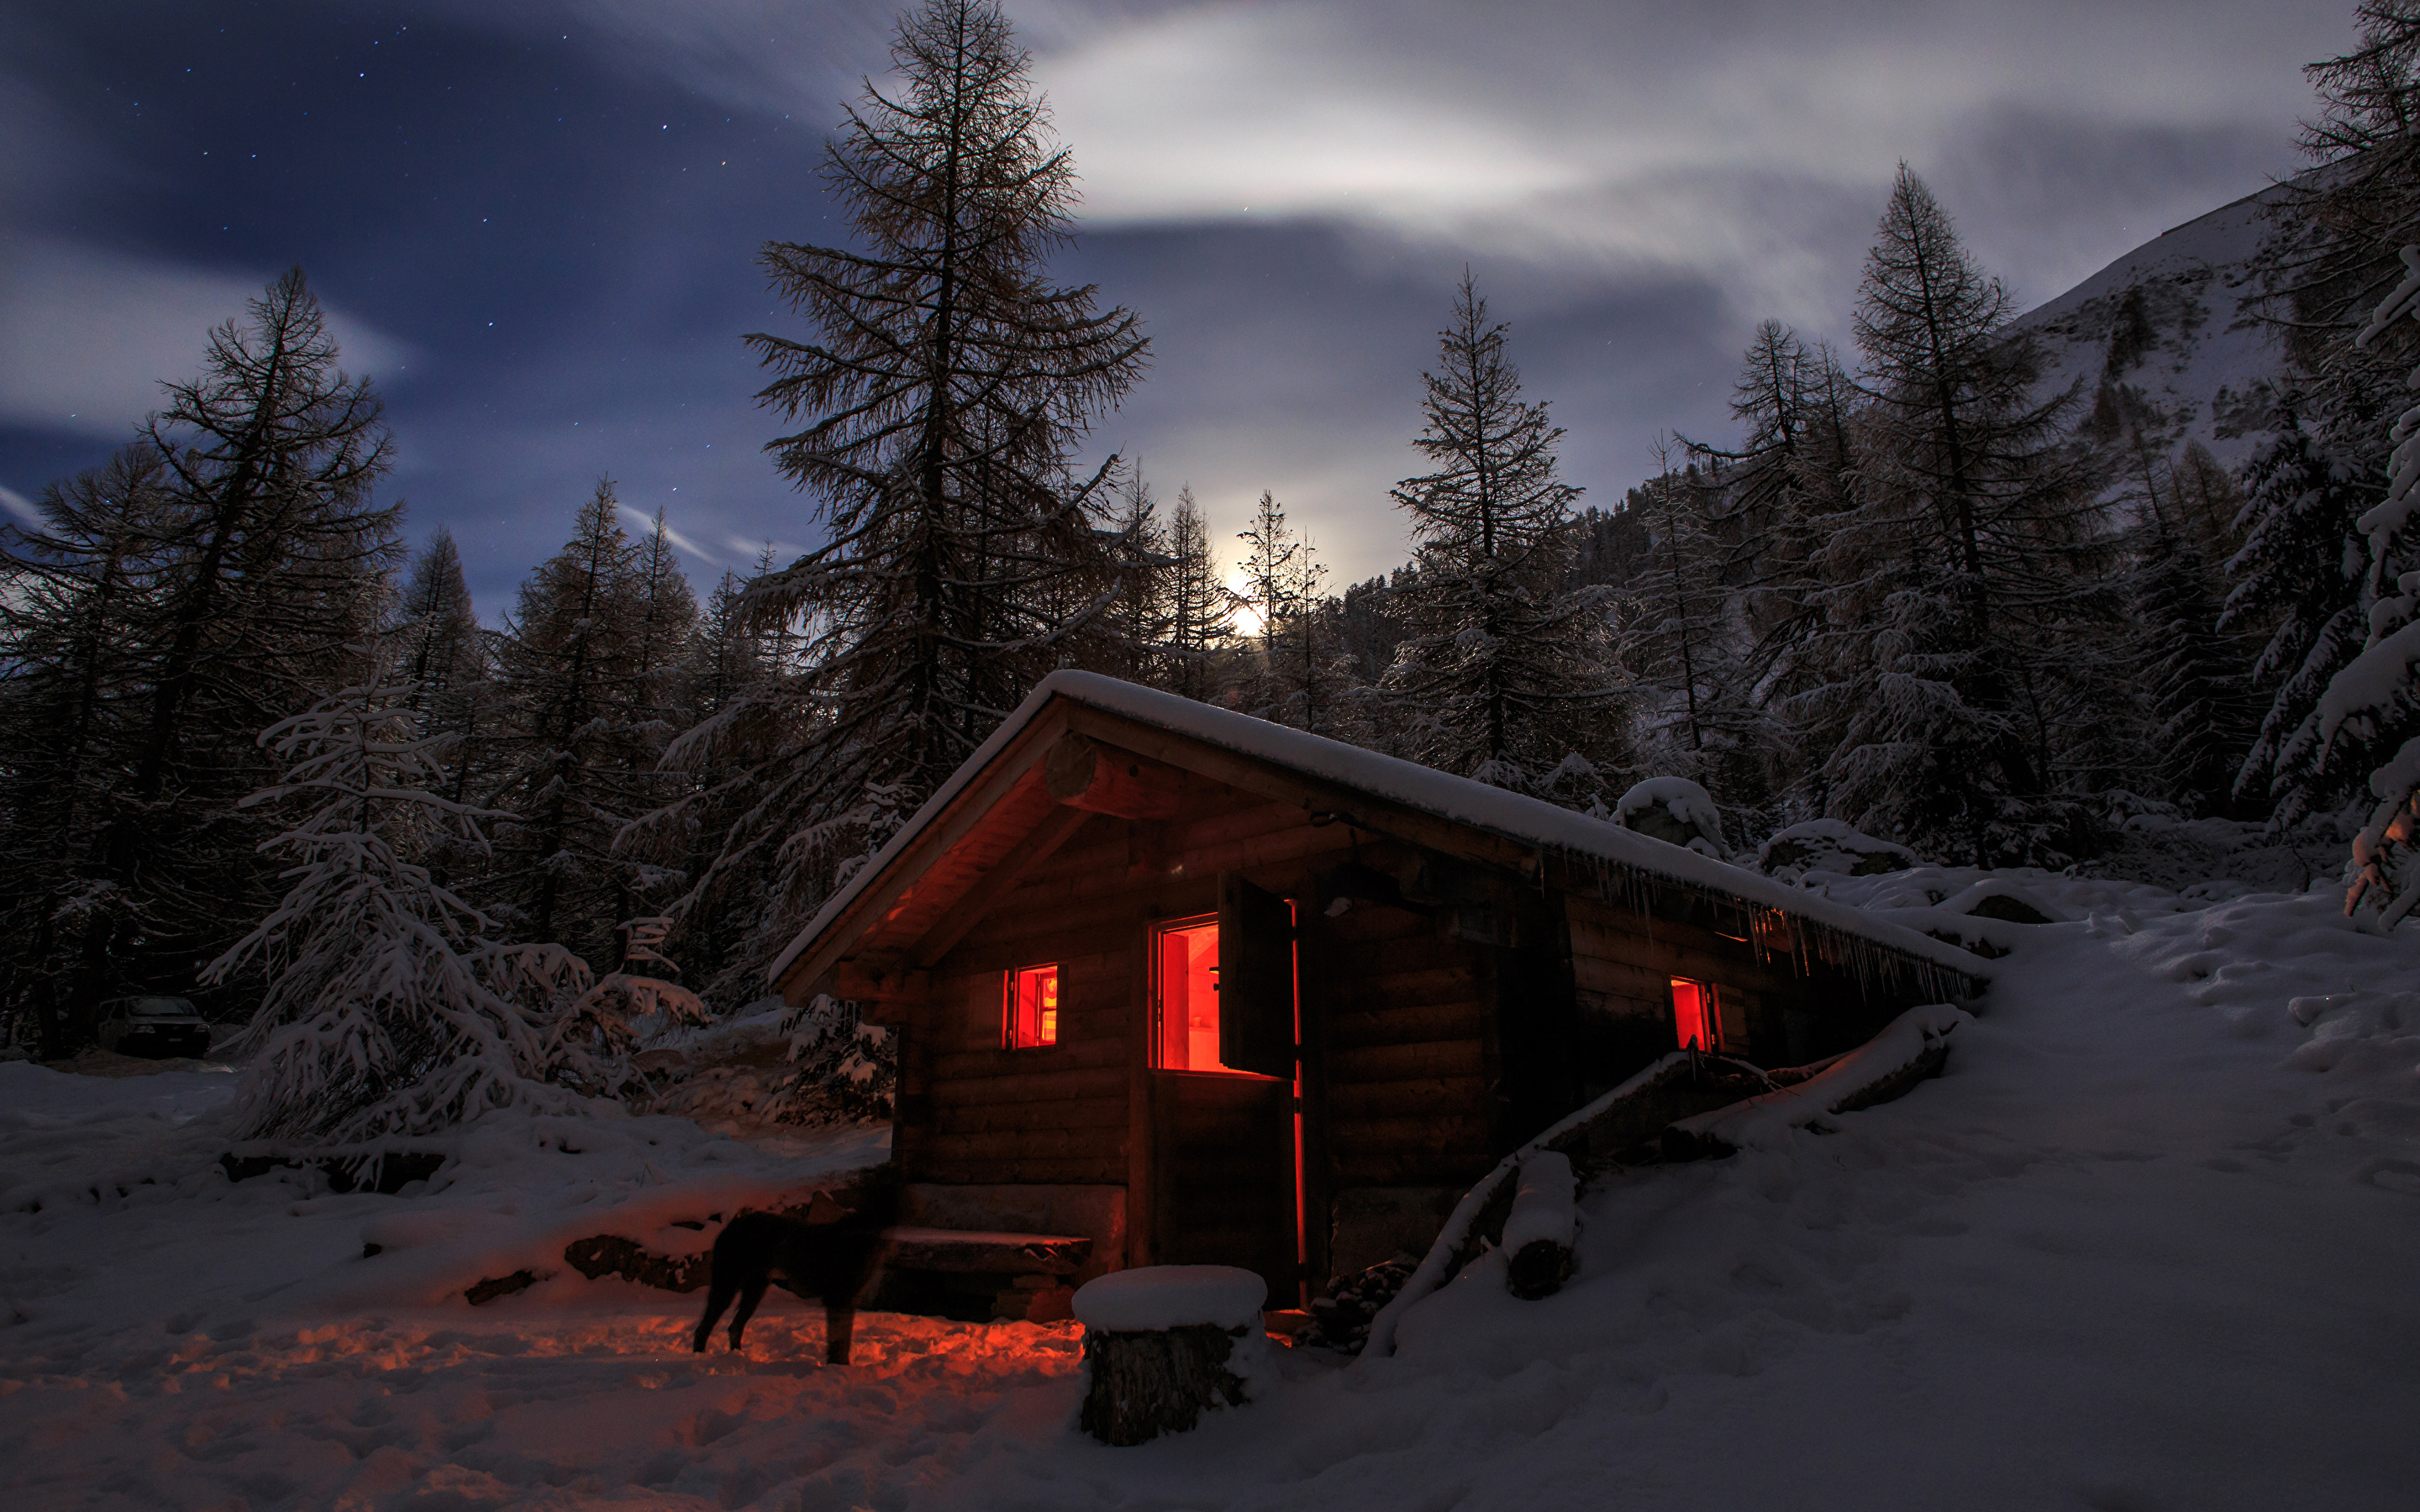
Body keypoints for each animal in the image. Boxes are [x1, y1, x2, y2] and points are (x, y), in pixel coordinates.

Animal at [692, 1194, 890, 1364]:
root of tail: (730, 1228)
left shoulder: (848, 1298)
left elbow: (842, 1342)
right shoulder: (839, 1298)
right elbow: (839, 1343)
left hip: (755, 1289)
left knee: (734, 1328)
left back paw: (738, 1358)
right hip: (727, 1286)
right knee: (703, 1329)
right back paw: (699, 1360)